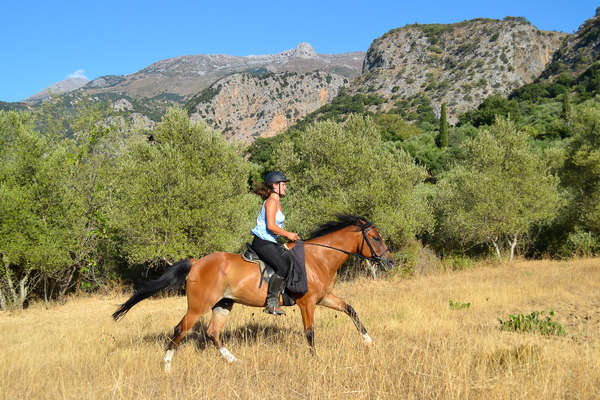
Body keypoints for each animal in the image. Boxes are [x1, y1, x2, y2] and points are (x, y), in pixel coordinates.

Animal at [112, 216, 394, 372]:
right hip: (198, 306)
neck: (318, 258)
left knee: (213, 333)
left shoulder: (323, 298)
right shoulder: (307, 303)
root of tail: (197, 262)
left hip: (224, 304)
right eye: (376, 238)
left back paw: (235, 361)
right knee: (180, 329)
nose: (390, 262)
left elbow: (351, 309)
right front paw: (315, 360)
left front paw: (369, 342)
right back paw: (167, 367)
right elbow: (310, 332)